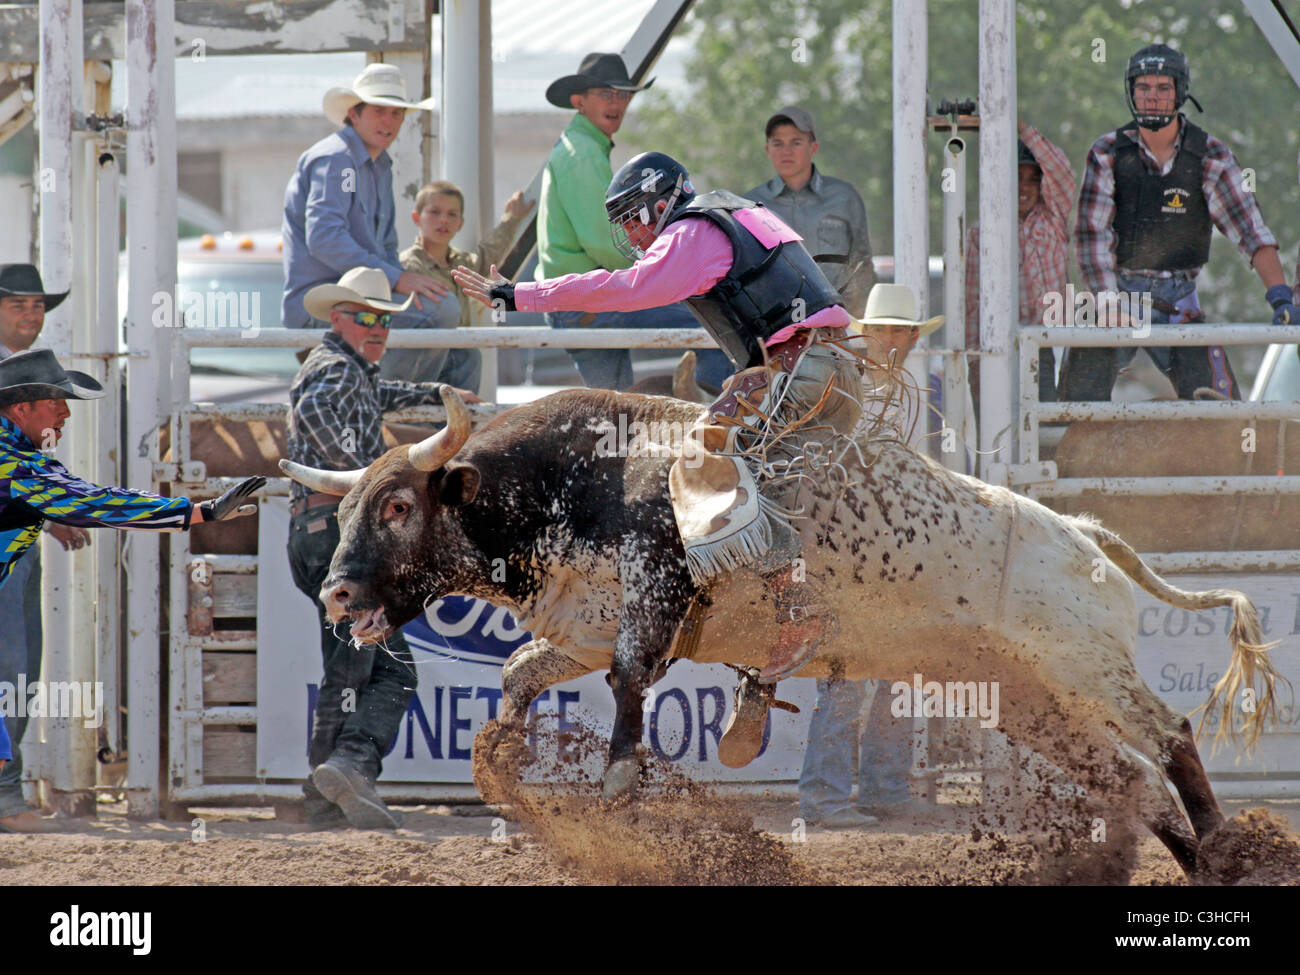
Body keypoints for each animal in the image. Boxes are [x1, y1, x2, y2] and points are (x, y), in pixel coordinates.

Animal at [280, 387, 1285, 879]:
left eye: (399, 504)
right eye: (351, 507)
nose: (334, 592)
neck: (578, 473)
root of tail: (1083, 533)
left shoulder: (654, 592)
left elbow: (631, 680)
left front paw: (617, 789)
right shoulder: (581, 624)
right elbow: (524, 673)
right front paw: (506, 762)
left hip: (1084, 660)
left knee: (1171, 734)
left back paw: (1236, 850)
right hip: (1027, 698)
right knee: (1132, 778)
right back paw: (1207, 863)